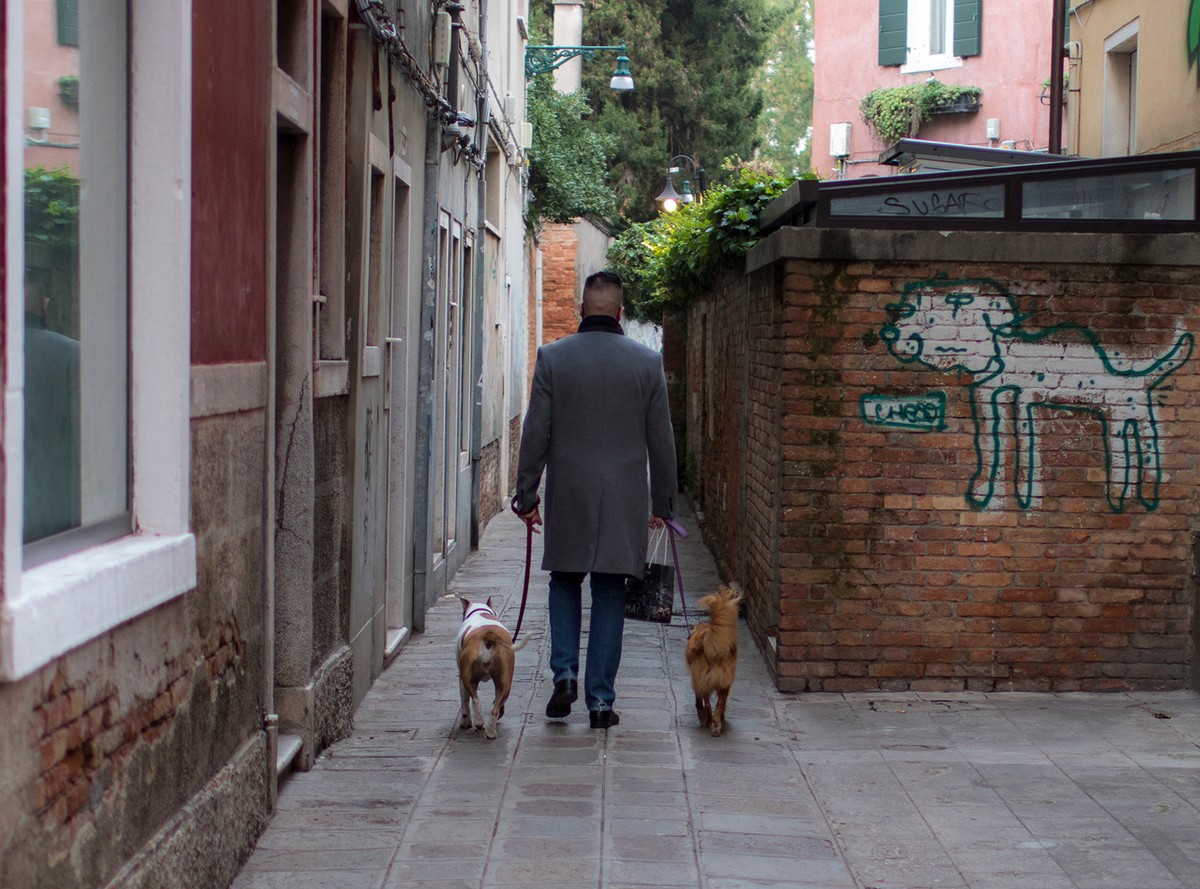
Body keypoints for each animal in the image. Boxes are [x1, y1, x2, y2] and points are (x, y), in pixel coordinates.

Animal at [453, 599, 525, 739]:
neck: (481, 611)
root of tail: (488, 634)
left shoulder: (460, 676)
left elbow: (464, 701)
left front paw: (466, 722)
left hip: (468, 678)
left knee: (475, 700)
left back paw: (479, 723)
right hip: (505, 681)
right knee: (495, 708)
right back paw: (491, 731)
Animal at [686, 583, 739, 734]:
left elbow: (699, 700)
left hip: (705, 679)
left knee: (709, 703)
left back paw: (709, 720)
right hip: (723, 681)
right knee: (717, 703)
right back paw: (715, 723)